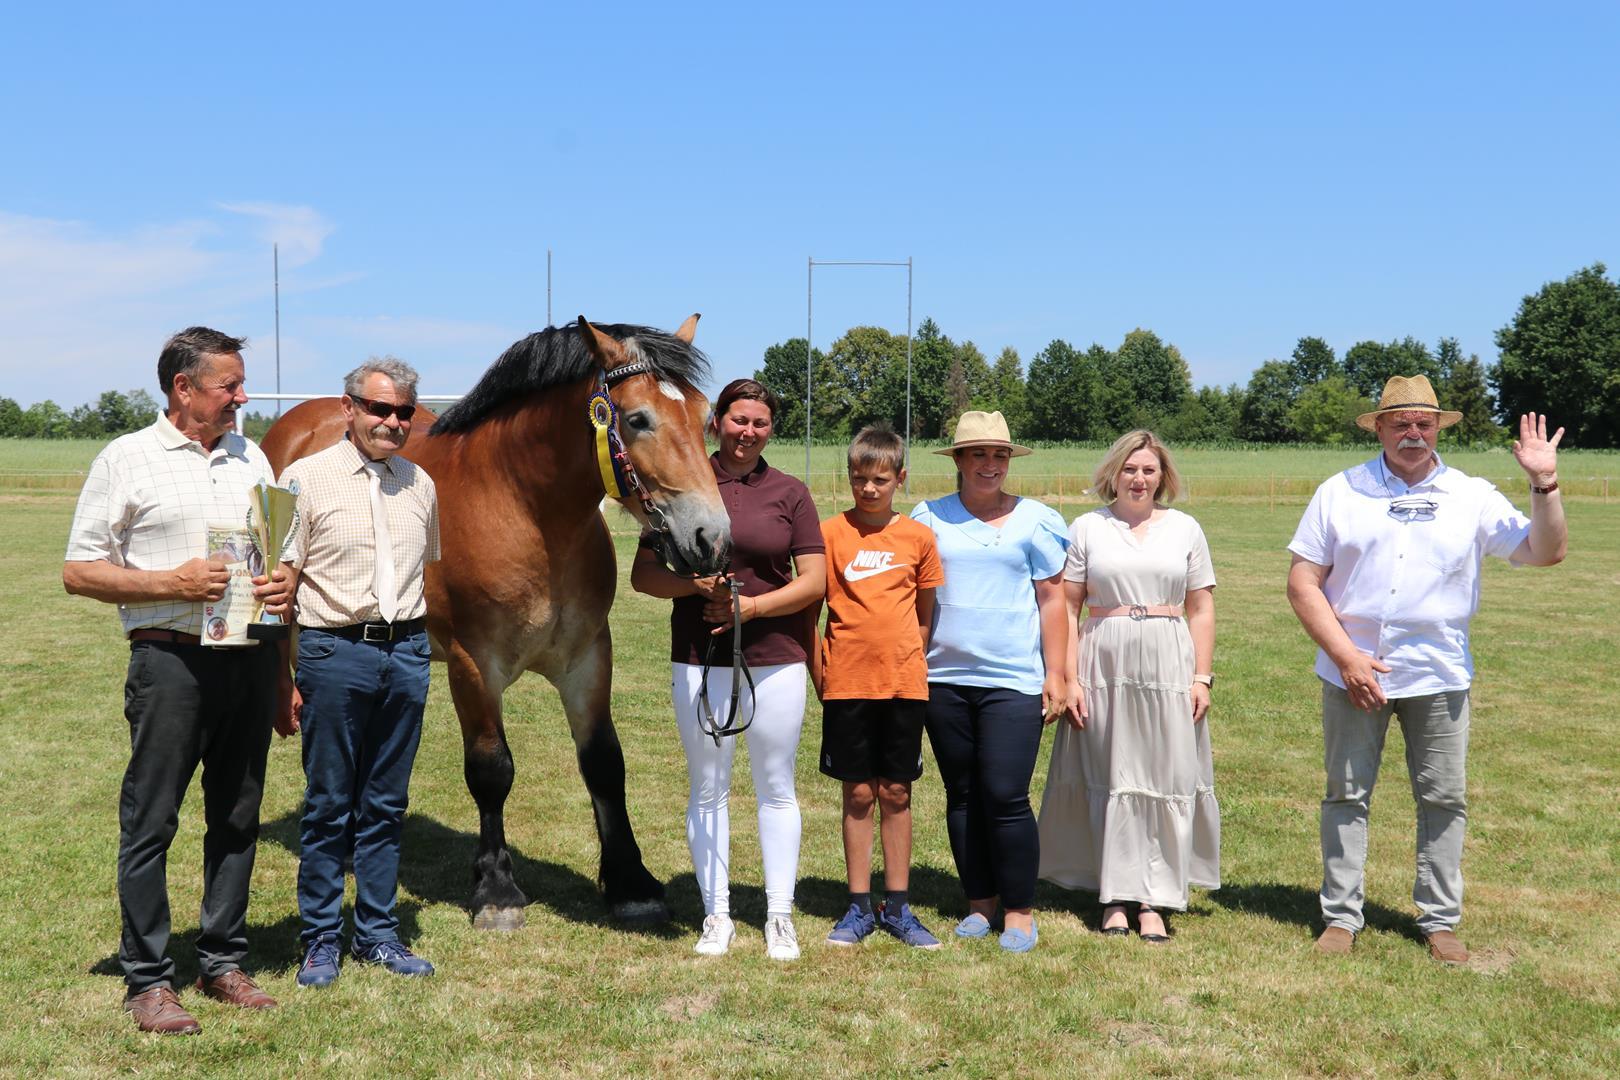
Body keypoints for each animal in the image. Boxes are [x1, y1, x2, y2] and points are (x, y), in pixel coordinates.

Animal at [261, 316, 730, 929]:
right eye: (637, 419)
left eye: (704, 417)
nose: (711, 539)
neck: (527, 512)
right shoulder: (473, 665)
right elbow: (491, 769)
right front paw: (497, 889)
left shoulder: (588, 656)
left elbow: (604, 762)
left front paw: (631, 884)